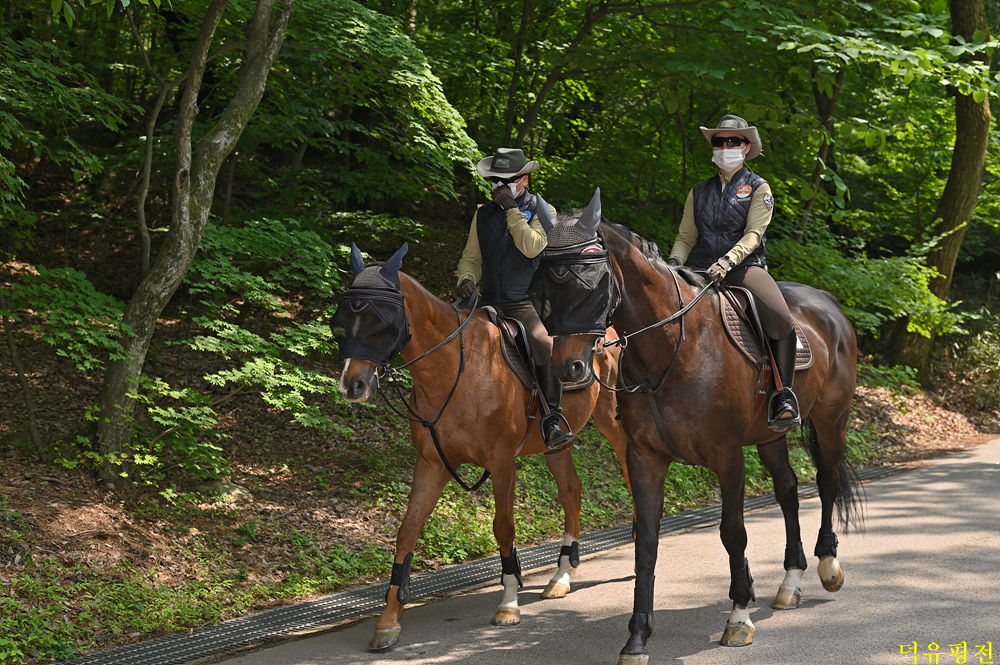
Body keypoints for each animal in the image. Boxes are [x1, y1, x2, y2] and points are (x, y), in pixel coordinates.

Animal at [333, 242, 632, 651]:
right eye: (343, 319)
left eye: (382, 319)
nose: (353, 385)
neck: (454, 367)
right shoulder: (432, 463)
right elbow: (408, 530)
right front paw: (388, 621)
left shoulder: (502, 462)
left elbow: (503, 527)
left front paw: (508, 604)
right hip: (555, 446)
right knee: (572, 492)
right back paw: (561, 576)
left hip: (614, 423)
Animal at [526, 191, 863, 664]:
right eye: (541, 288)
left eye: (591, 281)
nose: (567, 369)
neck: (674, 345)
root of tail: (828, 302)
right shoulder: (645, 457)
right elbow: (646, 544)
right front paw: (637, 638)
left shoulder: (727, 455)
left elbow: (733, 533)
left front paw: (739, 617)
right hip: (771, 436)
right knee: (789, 490)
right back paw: (789, 583)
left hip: (832, 419)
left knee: (827, 480)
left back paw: (828, 565)